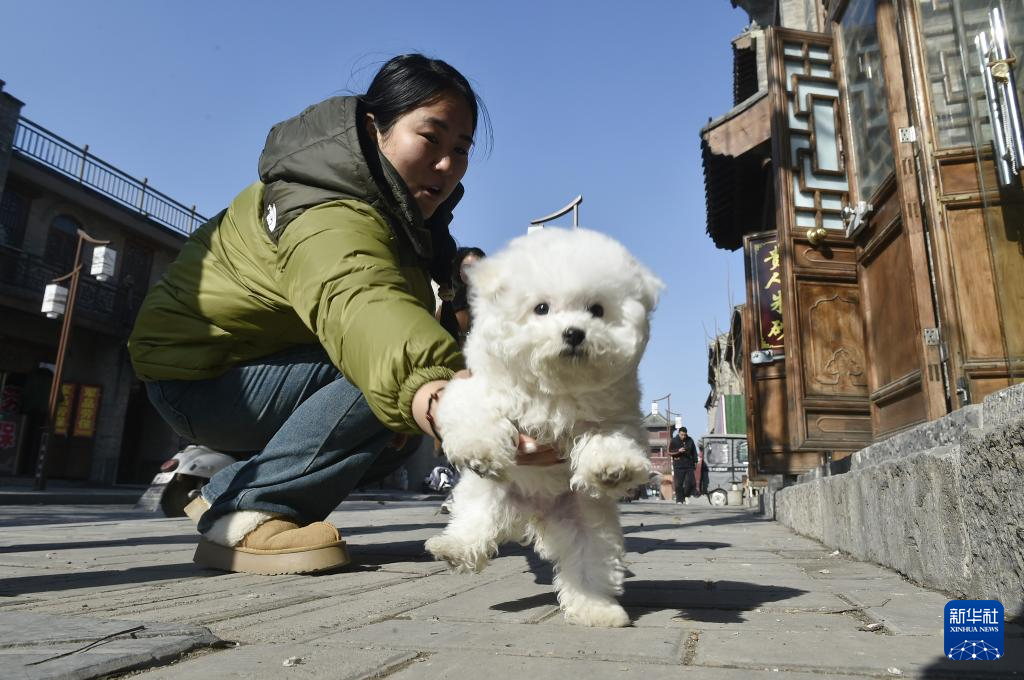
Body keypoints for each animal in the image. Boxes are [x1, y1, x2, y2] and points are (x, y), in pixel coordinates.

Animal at [423, 227, 663, 626]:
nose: (574, 333)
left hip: (586, 520)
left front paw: (613, 467)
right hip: (490, 493)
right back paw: (454, 548)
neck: (555, 384)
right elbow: (478, 412)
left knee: (589, 563)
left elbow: (609, 436)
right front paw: (480, 448)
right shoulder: (476, 387)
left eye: (597, 310)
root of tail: (535, 510)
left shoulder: (617, 414)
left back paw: (596, 609)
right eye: (541, 308)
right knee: (475, 520)